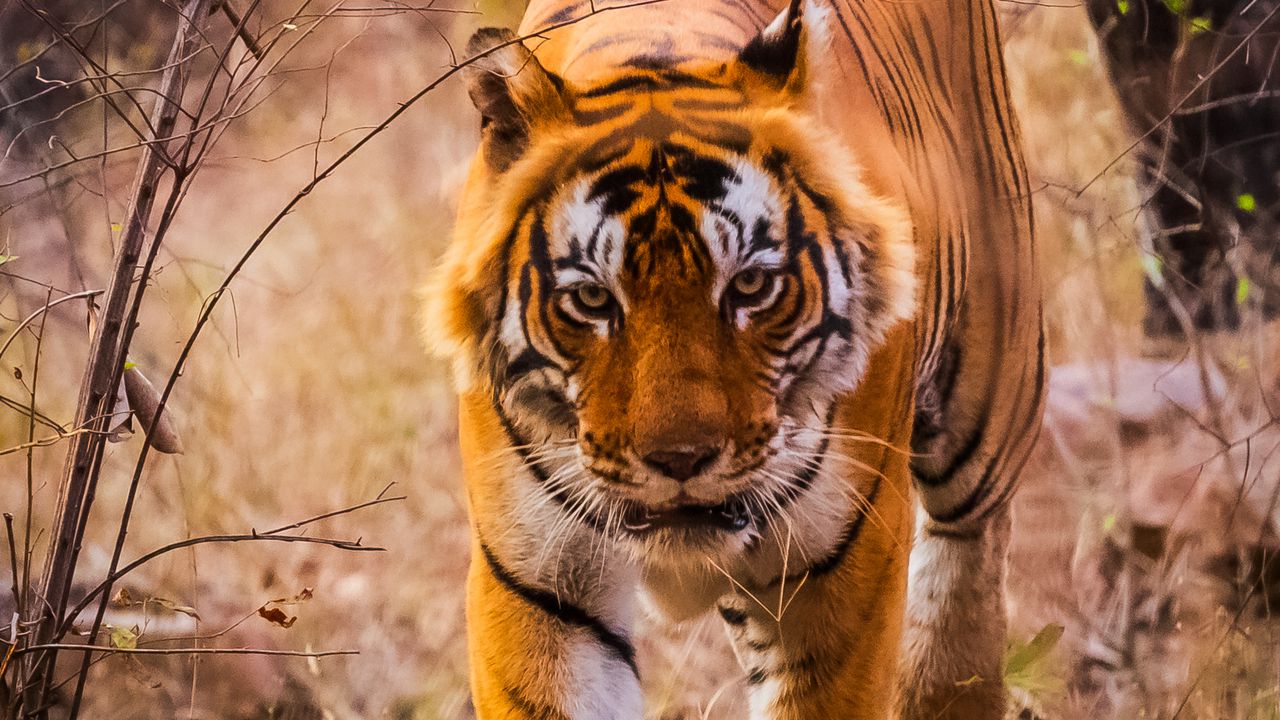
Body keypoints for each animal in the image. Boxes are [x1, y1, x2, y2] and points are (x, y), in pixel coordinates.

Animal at [425, 0, 1045, 718]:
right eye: (591, 298)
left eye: (749, 285)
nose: (680, 461)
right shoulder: (537, 585)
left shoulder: (840, 571)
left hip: (989, 414)